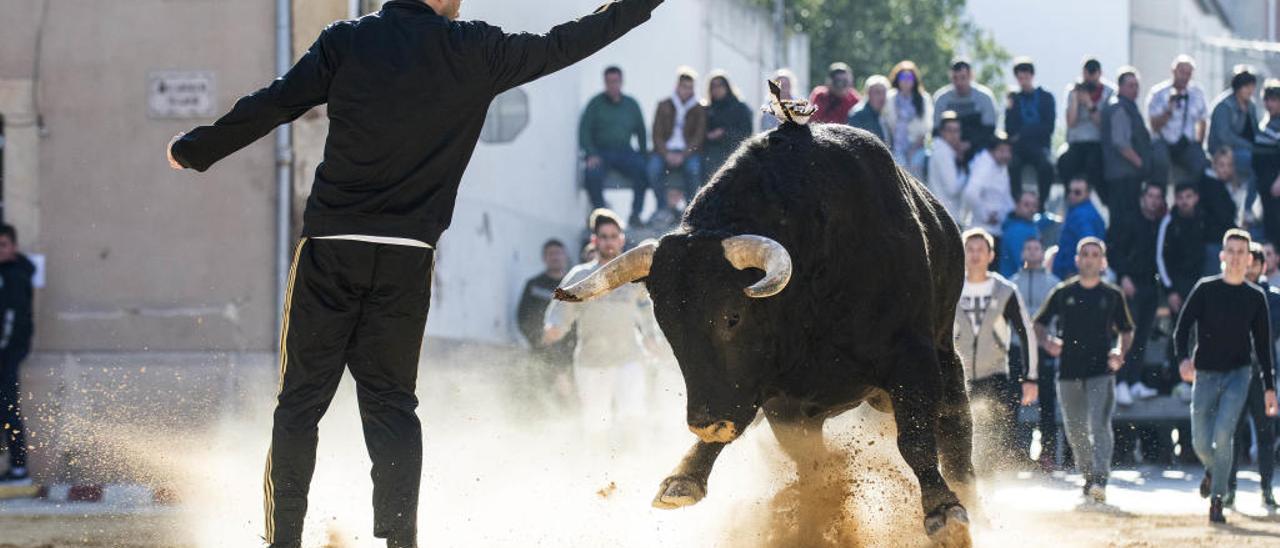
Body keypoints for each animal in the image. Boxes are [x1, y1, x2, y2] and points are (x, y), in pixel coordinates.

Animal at [558, 122, 967, 545]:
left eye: (733, 316)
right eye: (666, 323)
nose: (708, 423)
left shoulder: (912, 358)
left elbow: (916, 439)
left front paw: (944, 511)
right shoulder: (781, 403)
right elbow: (812, 467)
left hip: (945, 355)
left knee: (955, 424)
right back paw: (684, 479)